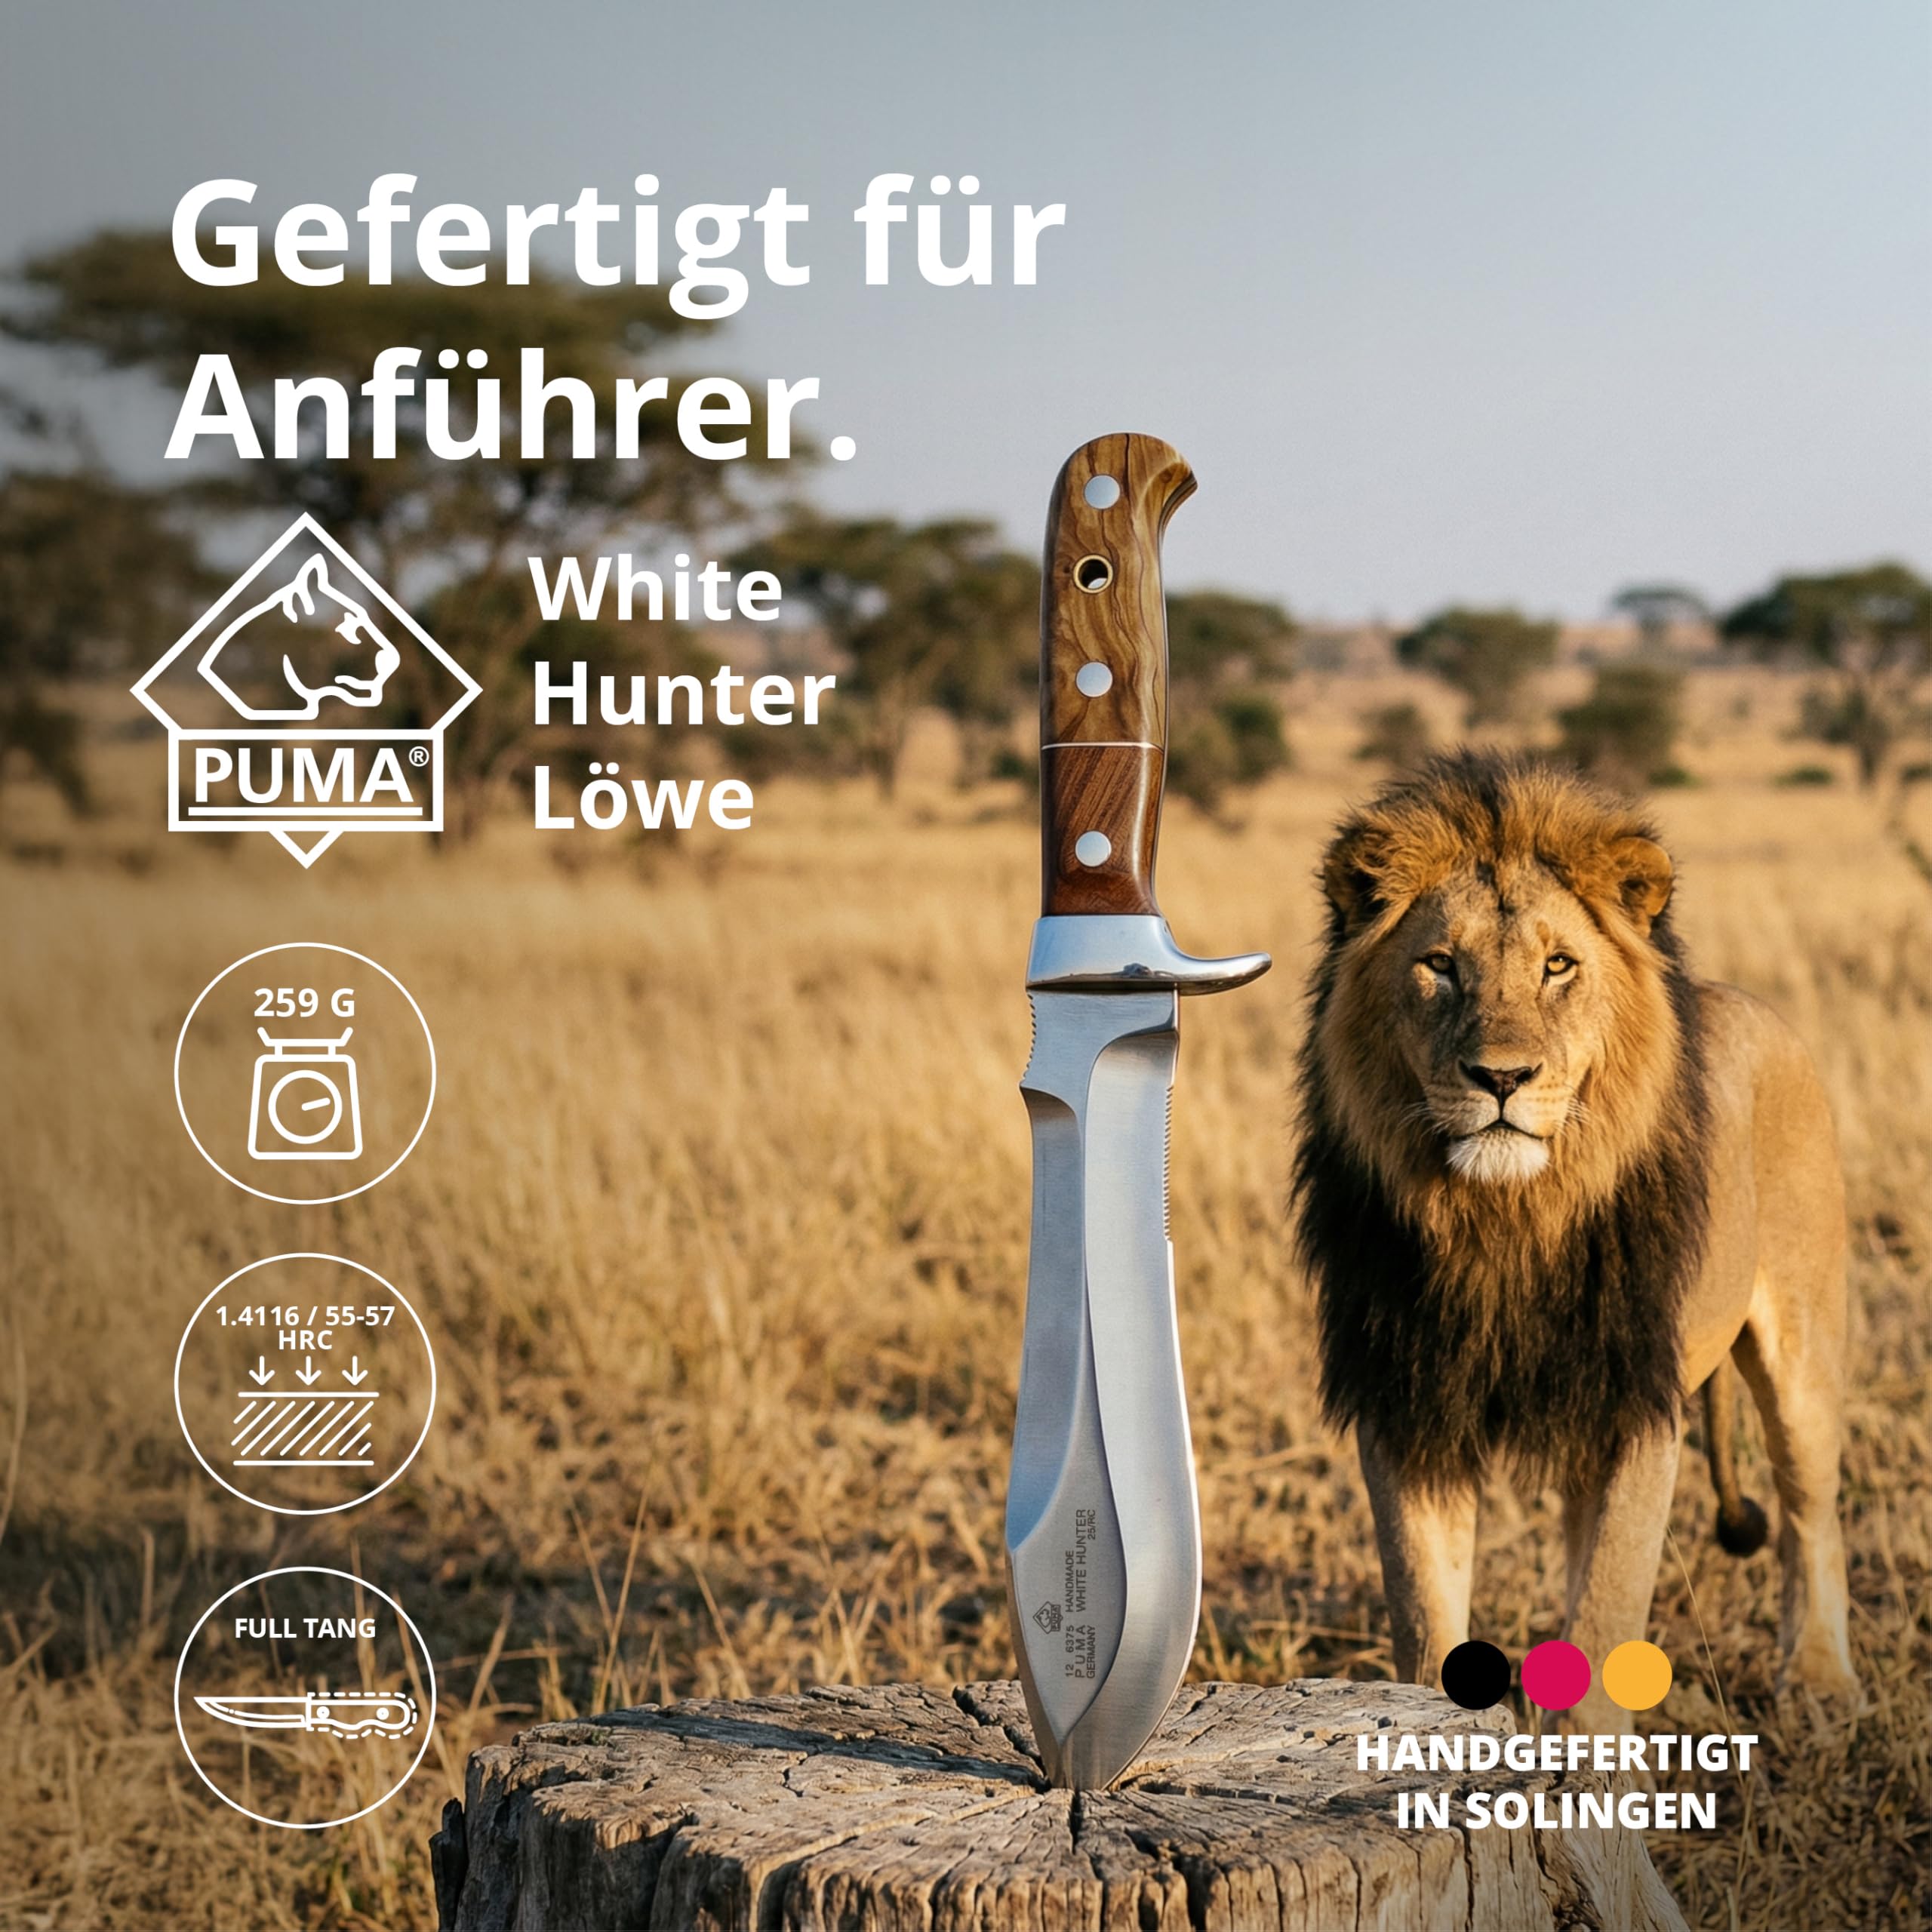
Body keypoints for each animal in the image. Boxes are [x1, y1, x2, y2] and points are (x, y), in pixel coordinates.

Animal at [1293, 750, 1855, 1732]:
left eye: (1558, 965)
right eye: (1438, 965)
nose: (1502, 1078)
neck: (1504, 1219)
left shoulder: (1630, 1410)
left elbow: (1603, 1623)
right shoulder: (1407, 1407)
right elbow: (1426, 1618)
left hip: (1802, 1352)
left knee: (1809, 1509)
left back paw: (1822, 1682)